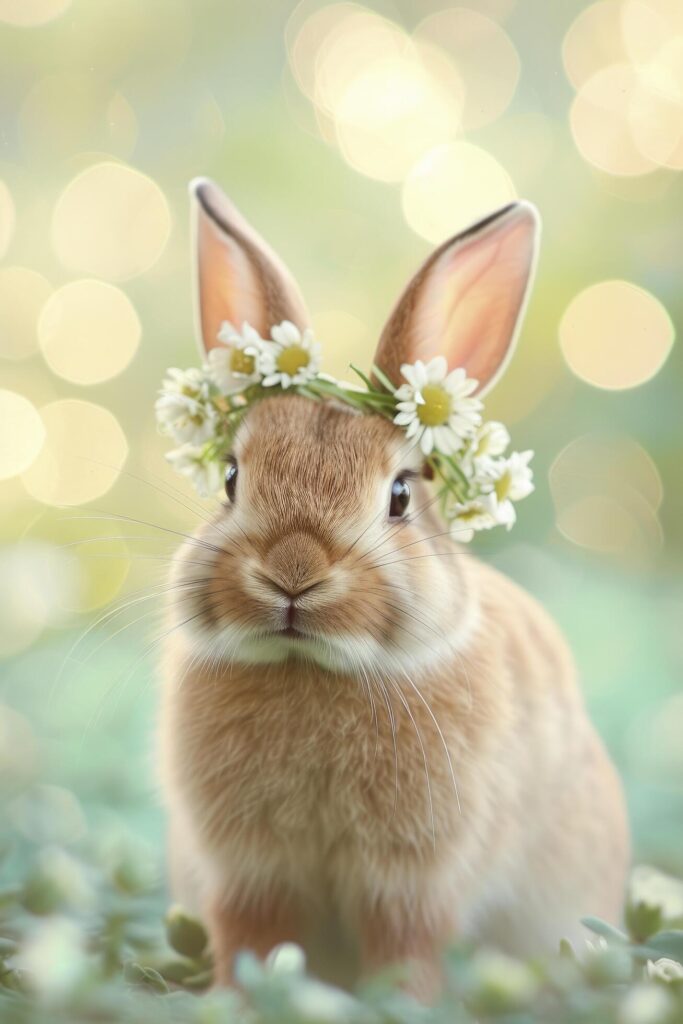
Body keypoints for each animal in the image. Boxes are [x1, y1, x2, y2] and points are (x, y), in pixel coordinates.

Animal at [157, 178, 626, 999]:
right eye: (231, 479)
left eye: (401, 496)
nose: (293, 573)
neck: (310, 668)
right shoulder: (248, 873)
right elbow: (251, 936)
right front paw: (241, 1000)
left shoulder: (413, 880)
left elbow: (407, 946)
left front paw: (399, 1004)